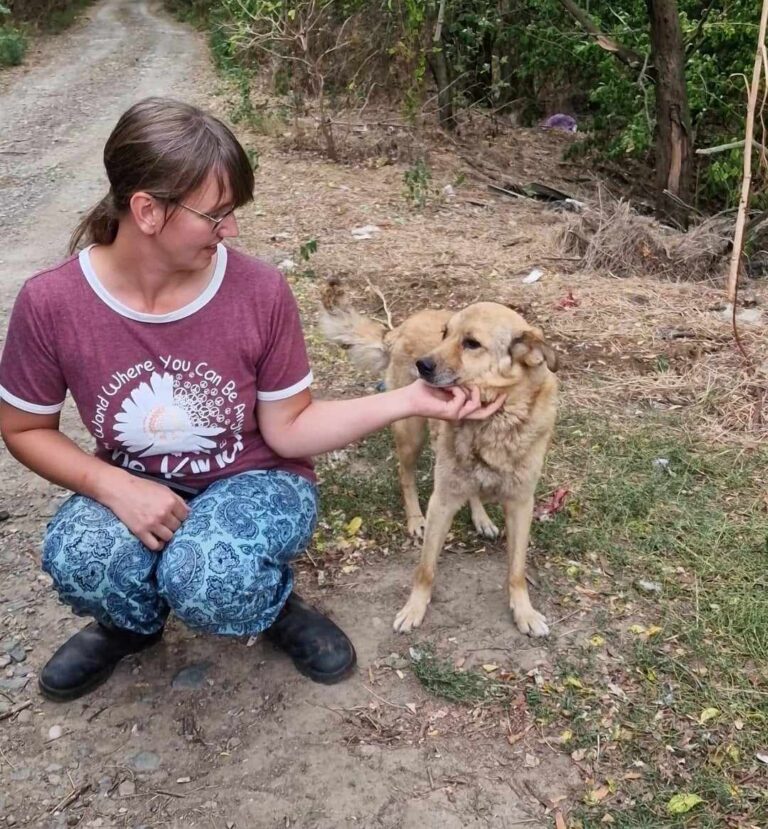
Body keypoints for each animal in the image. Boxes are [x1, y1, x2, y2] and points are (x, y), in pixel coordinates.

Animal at [318, 282, 560, 636]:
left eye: (471, 343)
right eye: (445, 334)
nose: (422, 366)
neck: (495, 420)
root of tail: (400, 328)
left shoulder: (521, 503)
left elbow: (516, 569)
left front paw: (524, 612)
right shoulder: (442, 500)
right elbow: (425, 567)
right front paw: (414, 608)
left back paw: (481, 517)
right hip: (411, 434)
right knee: (405, 475)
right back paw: (415, 519)